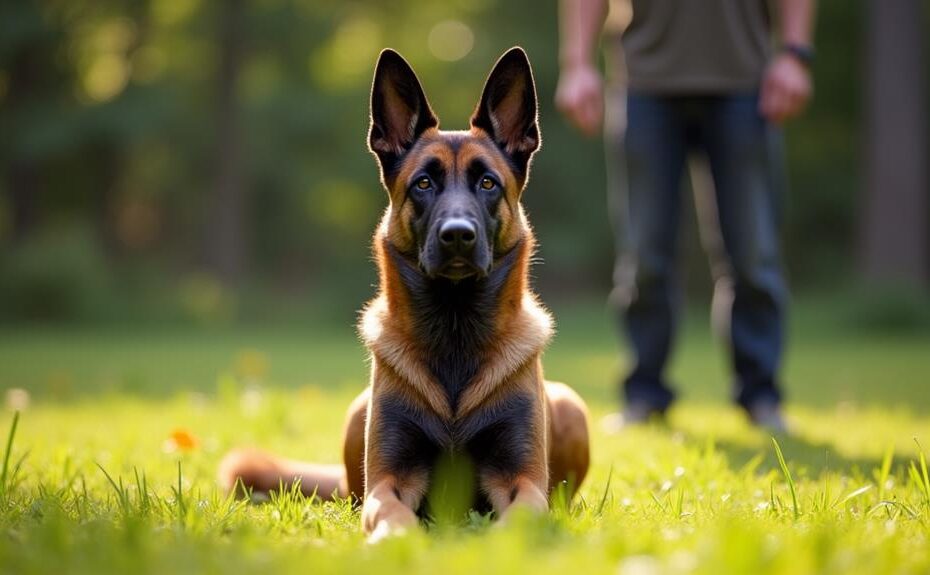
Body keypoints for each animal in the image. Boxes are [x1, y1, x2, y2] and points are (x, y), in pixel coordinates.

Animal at [219, 46, 588, 540]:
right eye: (424, 184)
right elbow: (390, 511)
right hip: (359, 414)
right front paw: (397, 540)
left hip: (571, 406)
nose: (457, 236)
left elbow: (524, 515)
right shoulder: (389, 478)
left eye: (488, 183)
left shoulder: (522, 478)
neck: (455, 331)